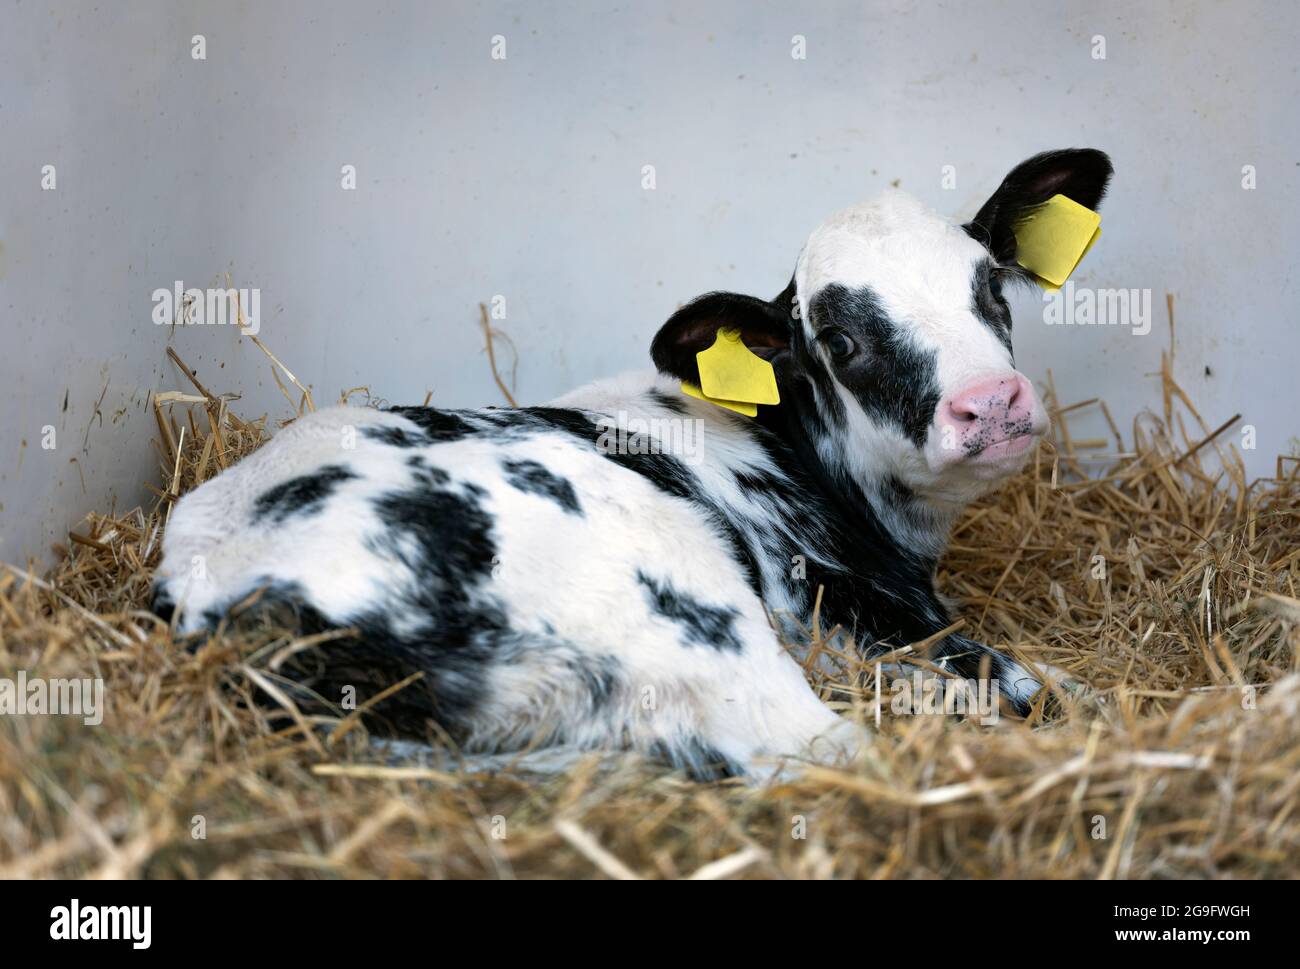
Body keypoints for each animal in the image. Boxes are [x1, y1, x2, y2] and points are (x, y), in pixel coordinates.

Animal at [153, 149, 1112, 778]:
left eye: (992, 287)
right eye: (839, 339)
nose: (992, 401)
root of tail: (221, 590)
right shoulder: (851, 606)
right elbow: (1036, 684)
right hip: (690, 602)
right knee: (823, 747)